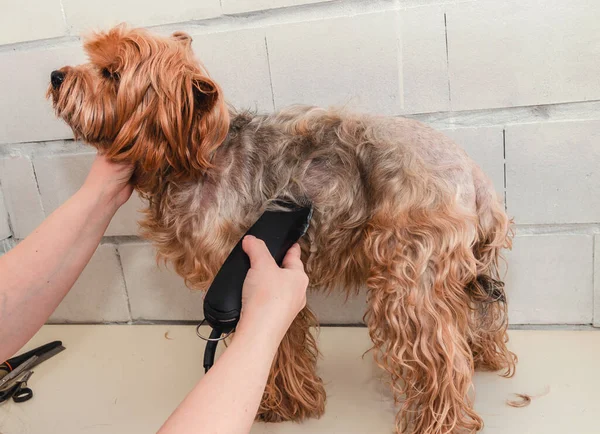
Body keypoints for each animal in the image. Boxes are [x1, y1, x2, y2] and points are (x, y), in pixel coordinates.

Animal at [48, 24, 516, 434]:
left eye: (112, 74)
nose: (55, 74)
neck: (194, 158)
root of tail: (475, 179)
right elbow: (284, 341)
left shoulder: (242, 270)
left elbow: (275, 344)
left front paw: (279, 405)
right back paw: (483, 356)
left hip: (407, 274)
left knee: (440, 355)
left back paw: (440, 421)